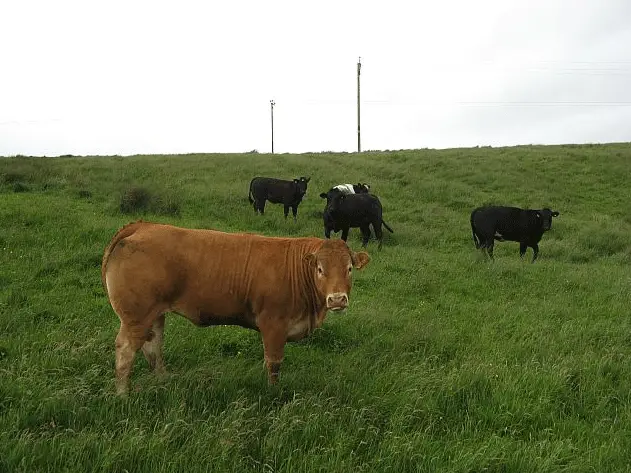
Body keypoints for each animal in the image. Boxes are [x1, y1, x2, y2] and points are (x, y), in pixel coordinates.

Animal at [101, 221, 370, 394]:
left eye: (349, 269)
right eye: (320, 269)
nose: (337, 299)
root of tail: (144, 226)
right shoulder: (274, 324)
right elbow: (274, 363)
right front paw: (273, 393)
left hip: (154, 314)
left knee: (153, 347)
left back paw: (163, 380)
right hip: (136, 316)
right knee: (125, 351)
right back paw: (122, 395)